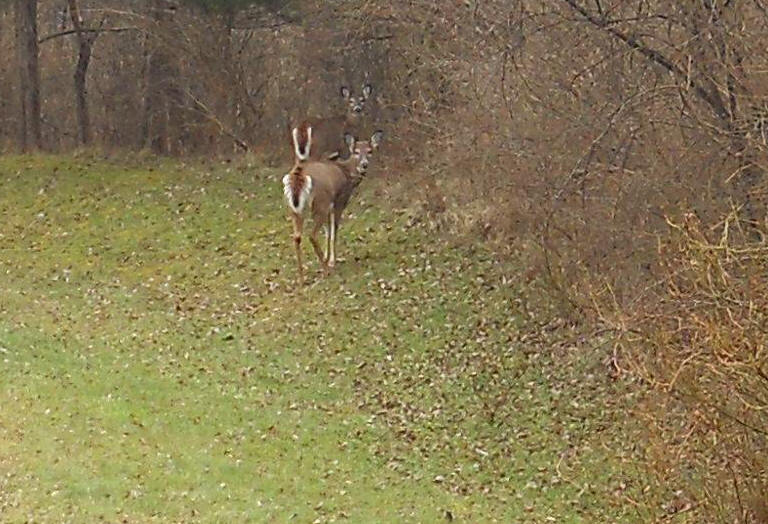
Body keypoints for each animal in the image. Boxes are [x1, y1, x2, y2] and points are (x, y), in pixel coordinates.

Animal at [282, 122, 383, 285]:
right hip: (319, 203)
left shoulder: (330, 205)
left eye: (369, 151)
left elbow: (327, 232)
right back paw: (325, 271)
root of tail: (299, 175)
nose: (364, 164)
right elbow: (333, 231)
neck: (347, 172)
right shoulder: (339, 201)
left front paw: (328, 257)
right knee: (312, 235)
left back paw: (301, 277)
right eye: (355, 151)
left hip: (295, 208)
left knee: (297, 236)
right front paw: (331, 261)